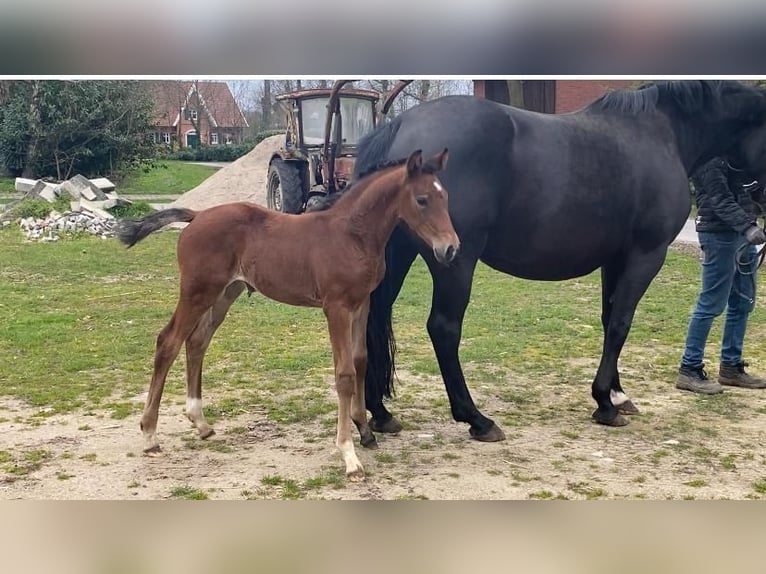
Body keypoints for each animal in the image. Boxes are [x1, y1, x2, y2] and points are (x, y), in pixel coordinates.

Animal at [115, 150, 462, 482]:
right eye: (422, 199)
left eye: (445, 196)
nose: (451, 248)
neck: (352, 235)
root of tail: (197, 215)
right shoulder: (336, 307)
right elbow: (344, 374)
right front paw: (349, 455)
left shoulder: (362, 303)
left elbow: (361, 360)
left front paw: (364, 430)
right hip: (197, 292)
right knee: (168, 342)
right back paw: (150, 435)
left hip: (226, 292)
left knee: (197, 341)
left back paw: (200, 423)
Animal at [356, 80, 766, 440]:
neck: (664, 134)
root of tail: (401, 126)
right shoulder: (646, 255)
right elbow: (621, 324)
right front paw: (605, 404)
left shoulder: (615, 258)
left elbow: (609, 319)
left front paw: (617, 394)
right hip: (455, 260)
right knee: (443, 328)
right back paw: (477, 419)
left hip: (399, 254)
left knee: (373, 315)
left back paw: (381, 412)